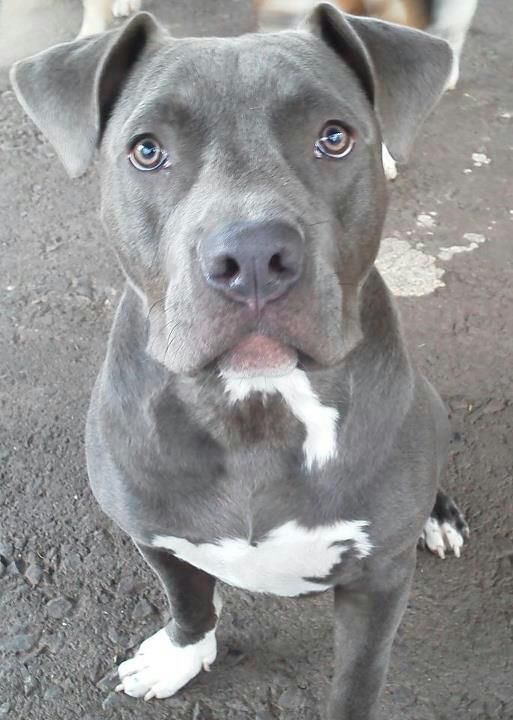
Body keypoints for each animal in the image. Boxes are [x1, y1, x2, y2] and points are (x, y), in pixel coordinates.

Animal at [11, 7, 468, 720]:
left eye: (334, 137)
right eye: (147, 150)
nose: (253, 254)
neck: (256, 405)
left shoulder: (380, 581)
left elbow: (359, 677)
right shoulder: (154, 533)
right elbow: (189, 599)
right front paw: (181, 654)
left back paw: (440, 516)